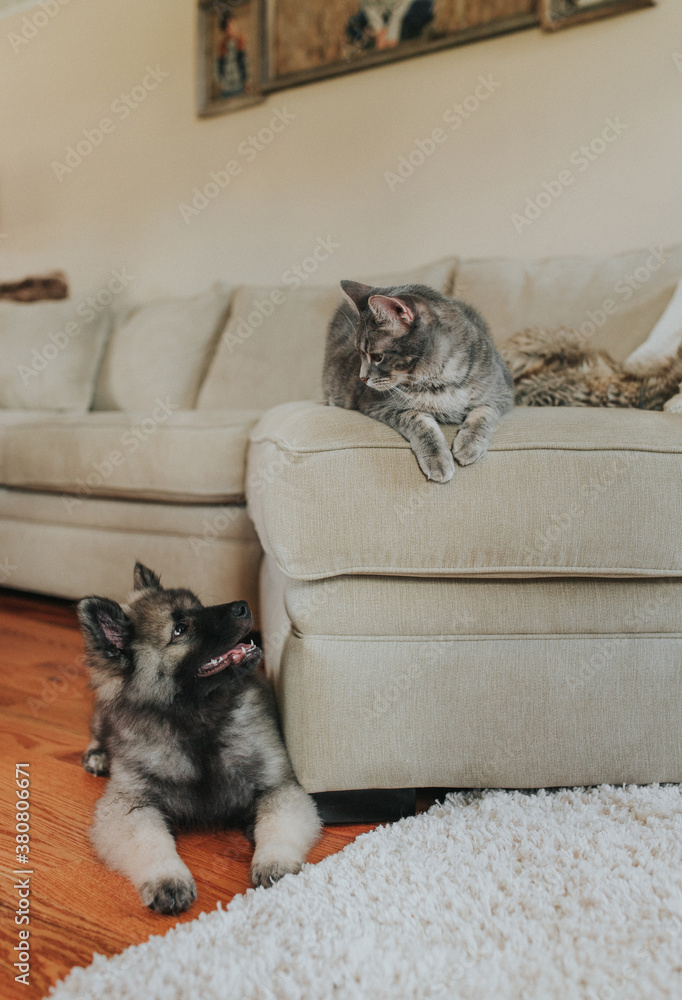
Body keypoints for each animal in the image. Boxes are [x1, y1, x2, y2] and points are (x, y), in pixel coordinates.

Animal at [78, 562, 320, 914]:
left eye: (200, 606)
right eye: (180, 629)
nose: (243, 606)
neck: (198, 722)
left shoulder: (278, 787)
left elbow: (275, 825)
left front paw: (274, 862)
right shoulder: (130, 804)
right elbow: (150, 841)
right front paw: (167, 878)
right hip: (104, 717)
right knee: (98, 729)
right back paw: (98, 755)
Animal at [322, 281, 514, 483]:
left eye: (377, 357)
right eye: (358, 353)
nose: (362, 378)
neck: (438, 379)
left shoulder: (503, 393)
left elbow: (484, 412)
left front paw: (469, 445)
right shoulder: (377, 404)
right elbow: (417, 421)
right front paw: (437, 459)